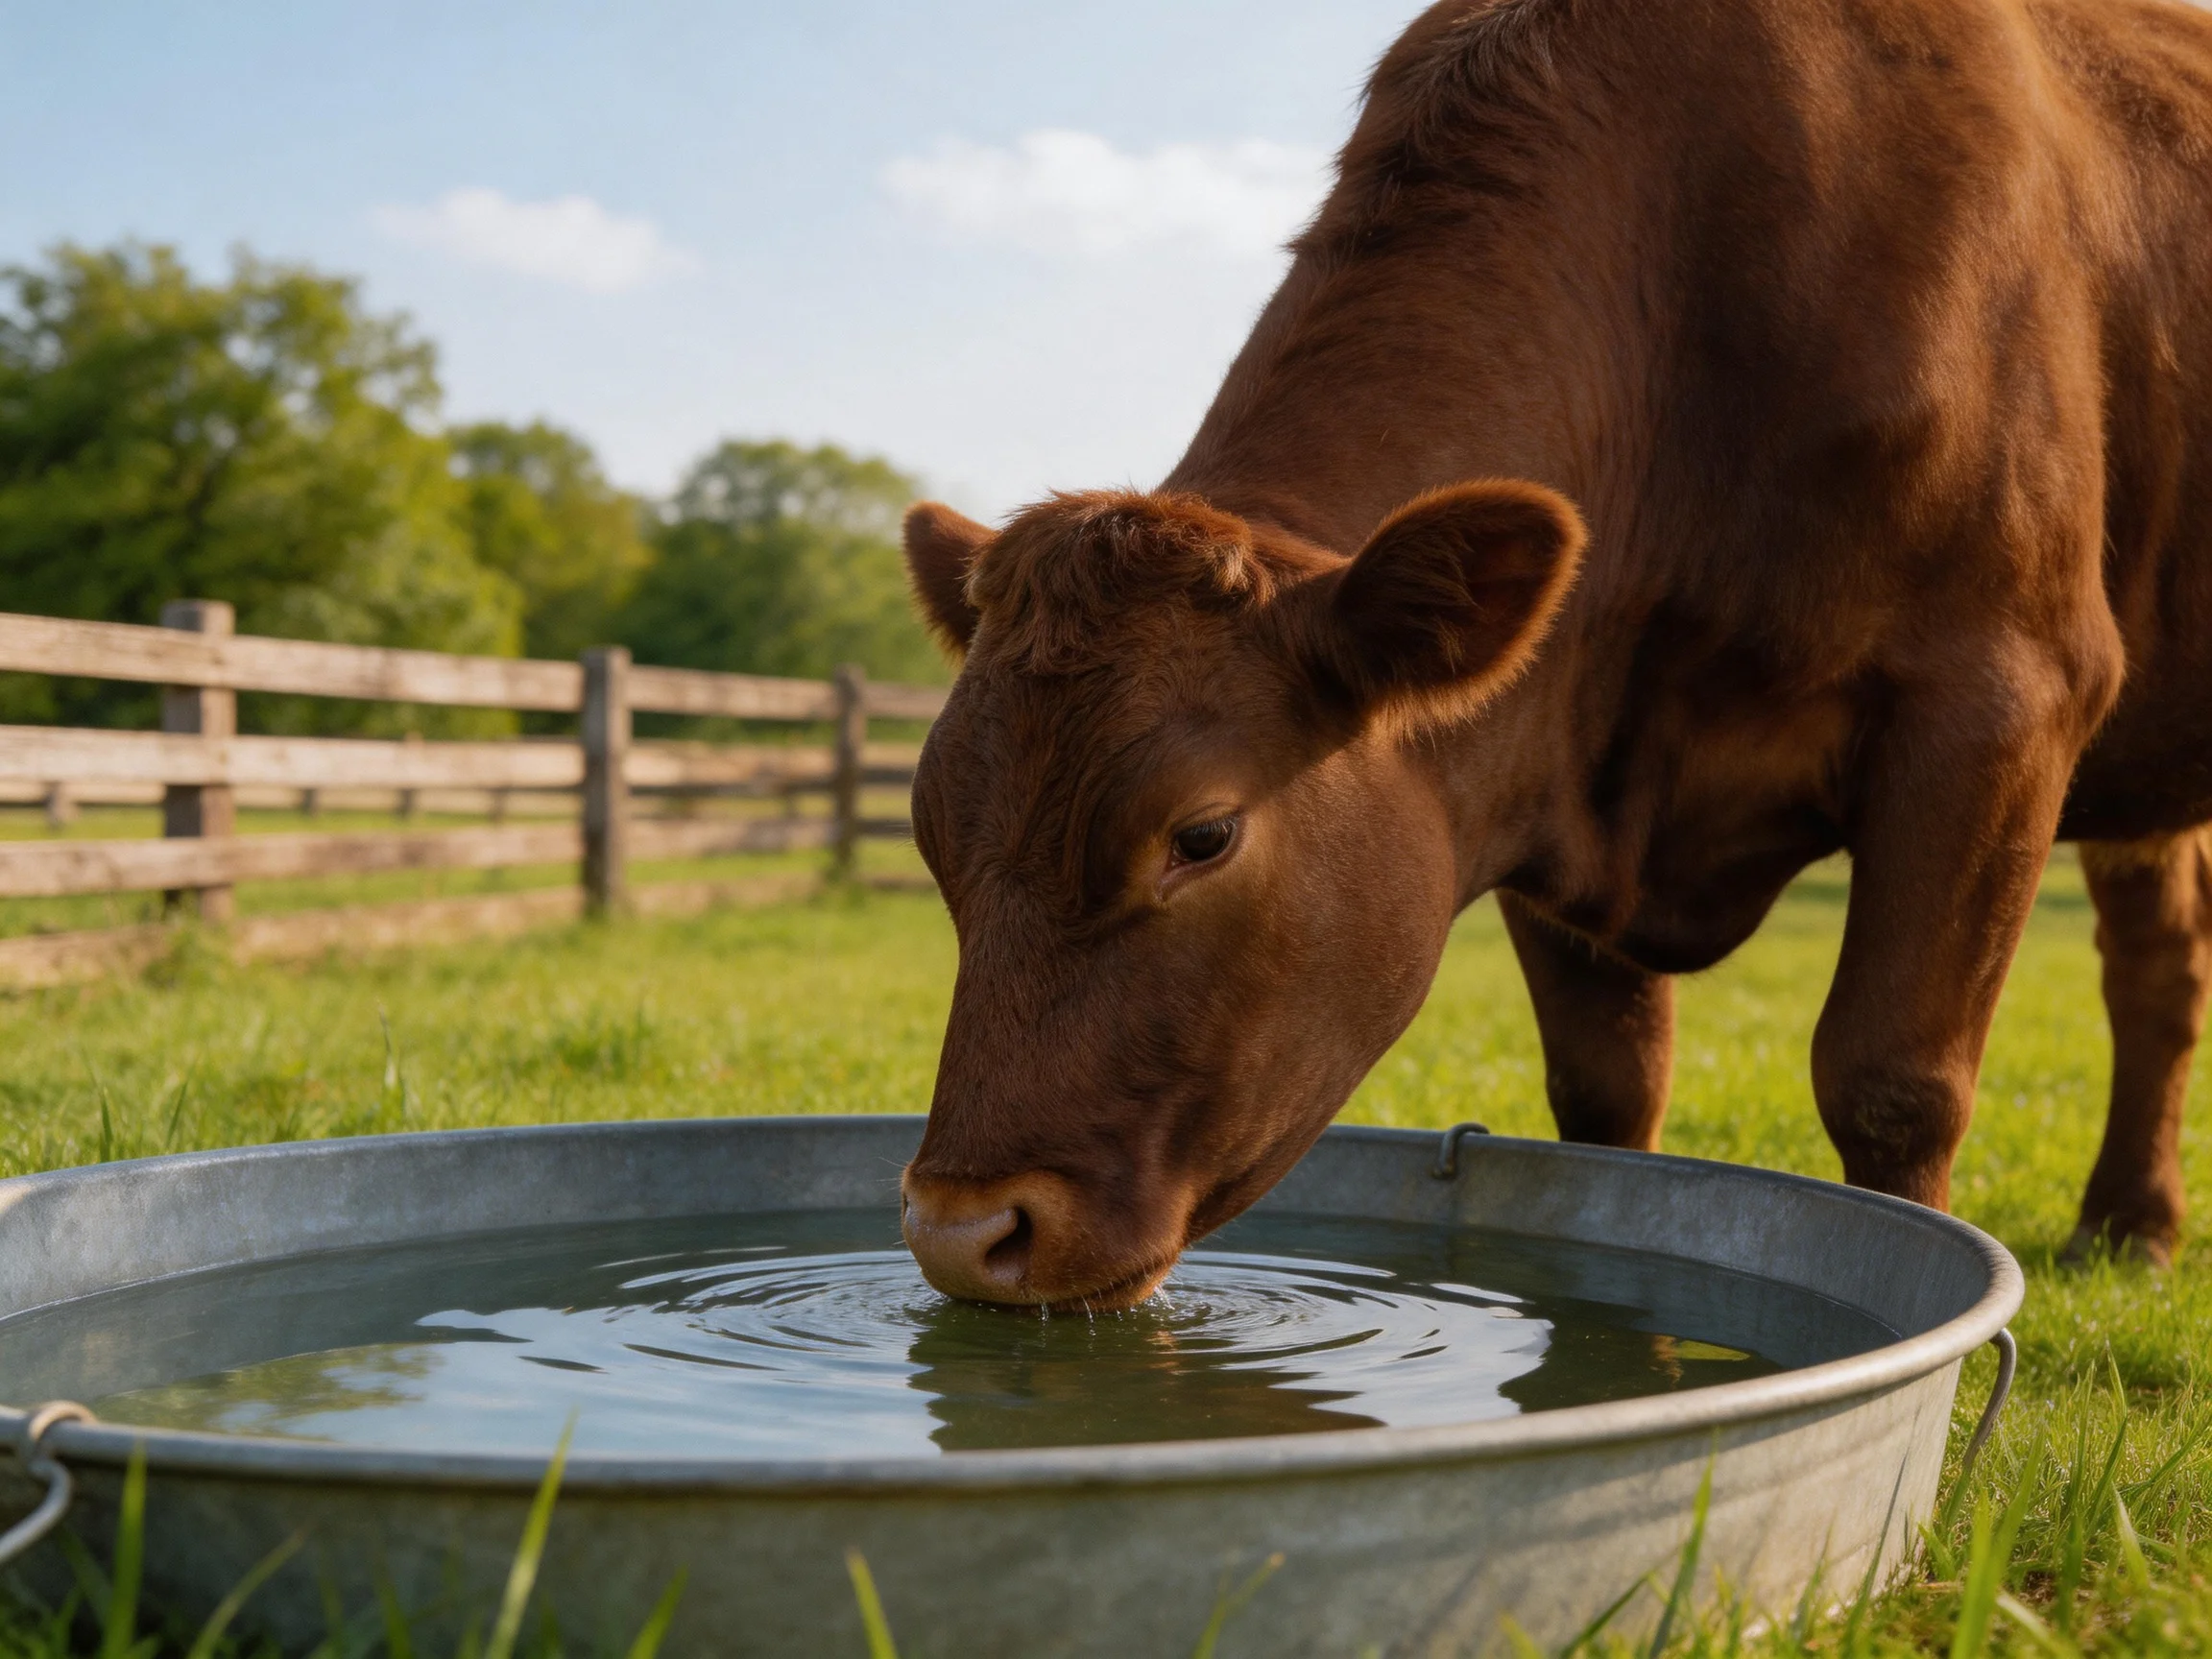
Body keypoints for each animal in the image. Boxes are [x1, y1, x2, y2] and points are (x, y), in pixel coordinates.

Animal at [896, 0, 2212, 1309]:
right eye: (933, 834)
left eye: (1203, 835)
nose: (963, 1229)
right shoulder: (1548, 756)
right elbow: (1608, 1094)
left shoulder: (2000, 700)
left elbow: (1894, 1081)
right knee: (2159, 960)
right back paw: (2128, 1223)